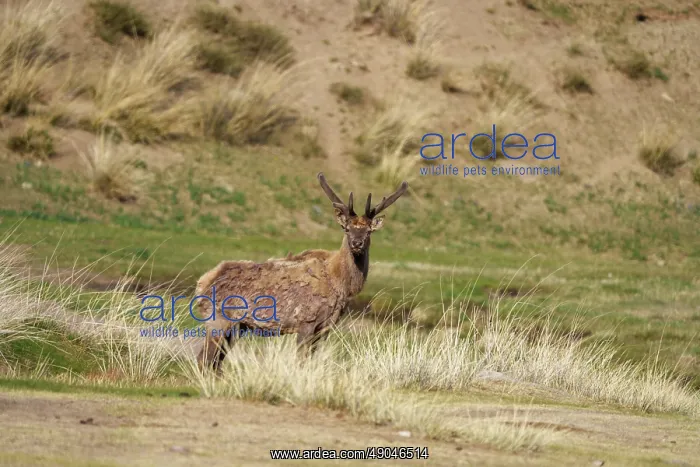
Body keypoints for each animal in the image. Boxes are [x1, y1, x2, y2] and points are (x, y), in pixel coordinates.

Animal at [195, 172, 409, 372]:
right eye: (347, 229)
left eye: (368, 231)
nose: (357, 243)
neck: (340, 284)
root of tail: (201, 284)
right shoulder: (306, 320)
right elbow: (300, 362)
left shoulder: (325, 327)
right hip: (218, 320)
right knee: (204, 359)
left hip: (237, 327)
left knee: (216, 362)